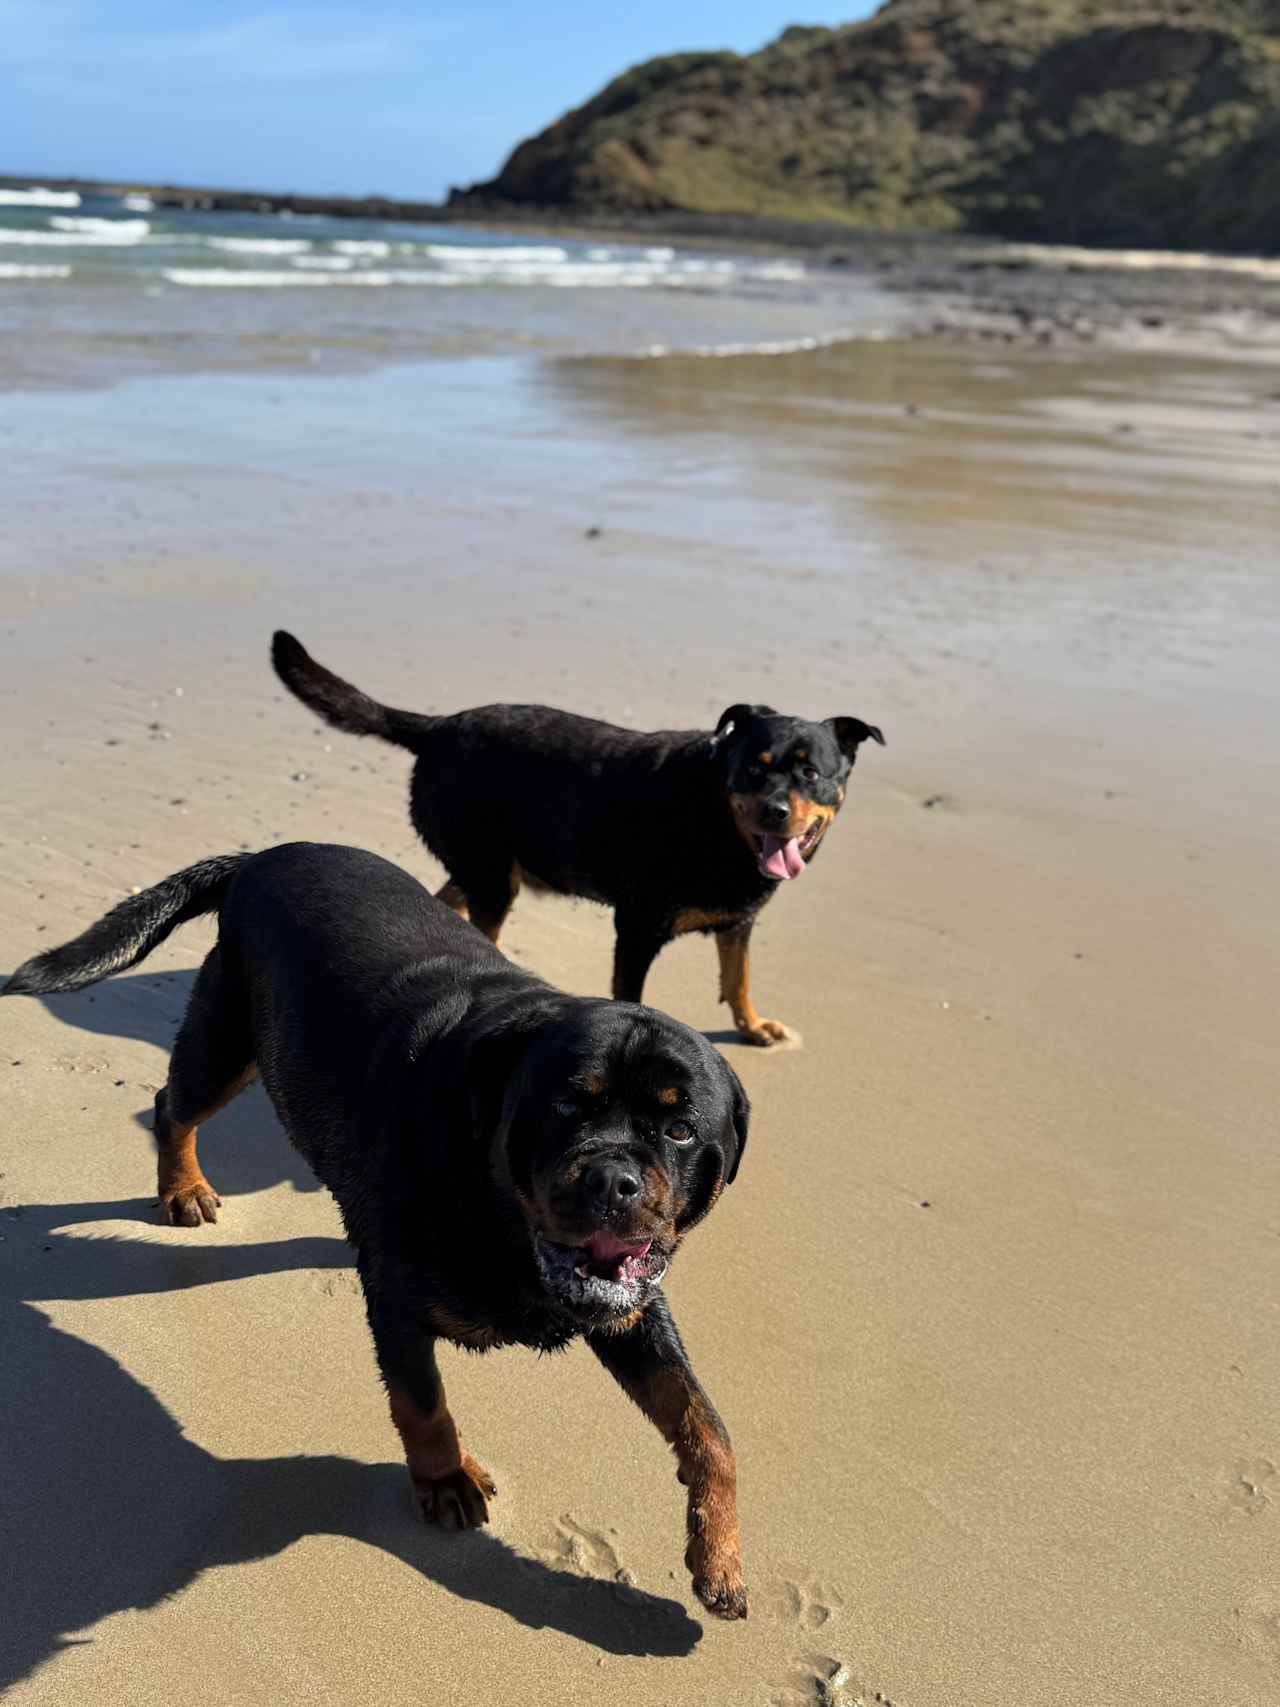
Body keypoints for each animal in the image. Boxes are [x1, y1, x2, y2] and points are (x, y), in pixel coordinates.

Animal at [2, 846, 750, 1618]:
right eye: (567, 1106)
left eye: (680, 1128)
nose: (611, 1180)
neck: (500, 1214)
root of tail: (264, 854)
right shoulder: (397, 1300)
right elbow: (423, 1403)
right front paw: (446, 1477)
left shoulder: (630, 1310)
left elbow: (708, 1425)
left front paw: (718, 1555)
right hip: (226, 1040)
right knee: (172, 1103)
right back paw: (181, 1186)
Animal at [273, 635, 880, 1044]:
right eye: (755, 769)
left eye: (811, 773)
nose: (776, 812)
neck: (718, 820)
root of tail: (439, 727)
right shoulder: (637, 928)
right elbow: (634, 995)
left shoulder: (738, 923)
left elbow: (739, 977)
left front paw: (752, 1026)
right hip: (492, 874)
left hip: (484, 865)